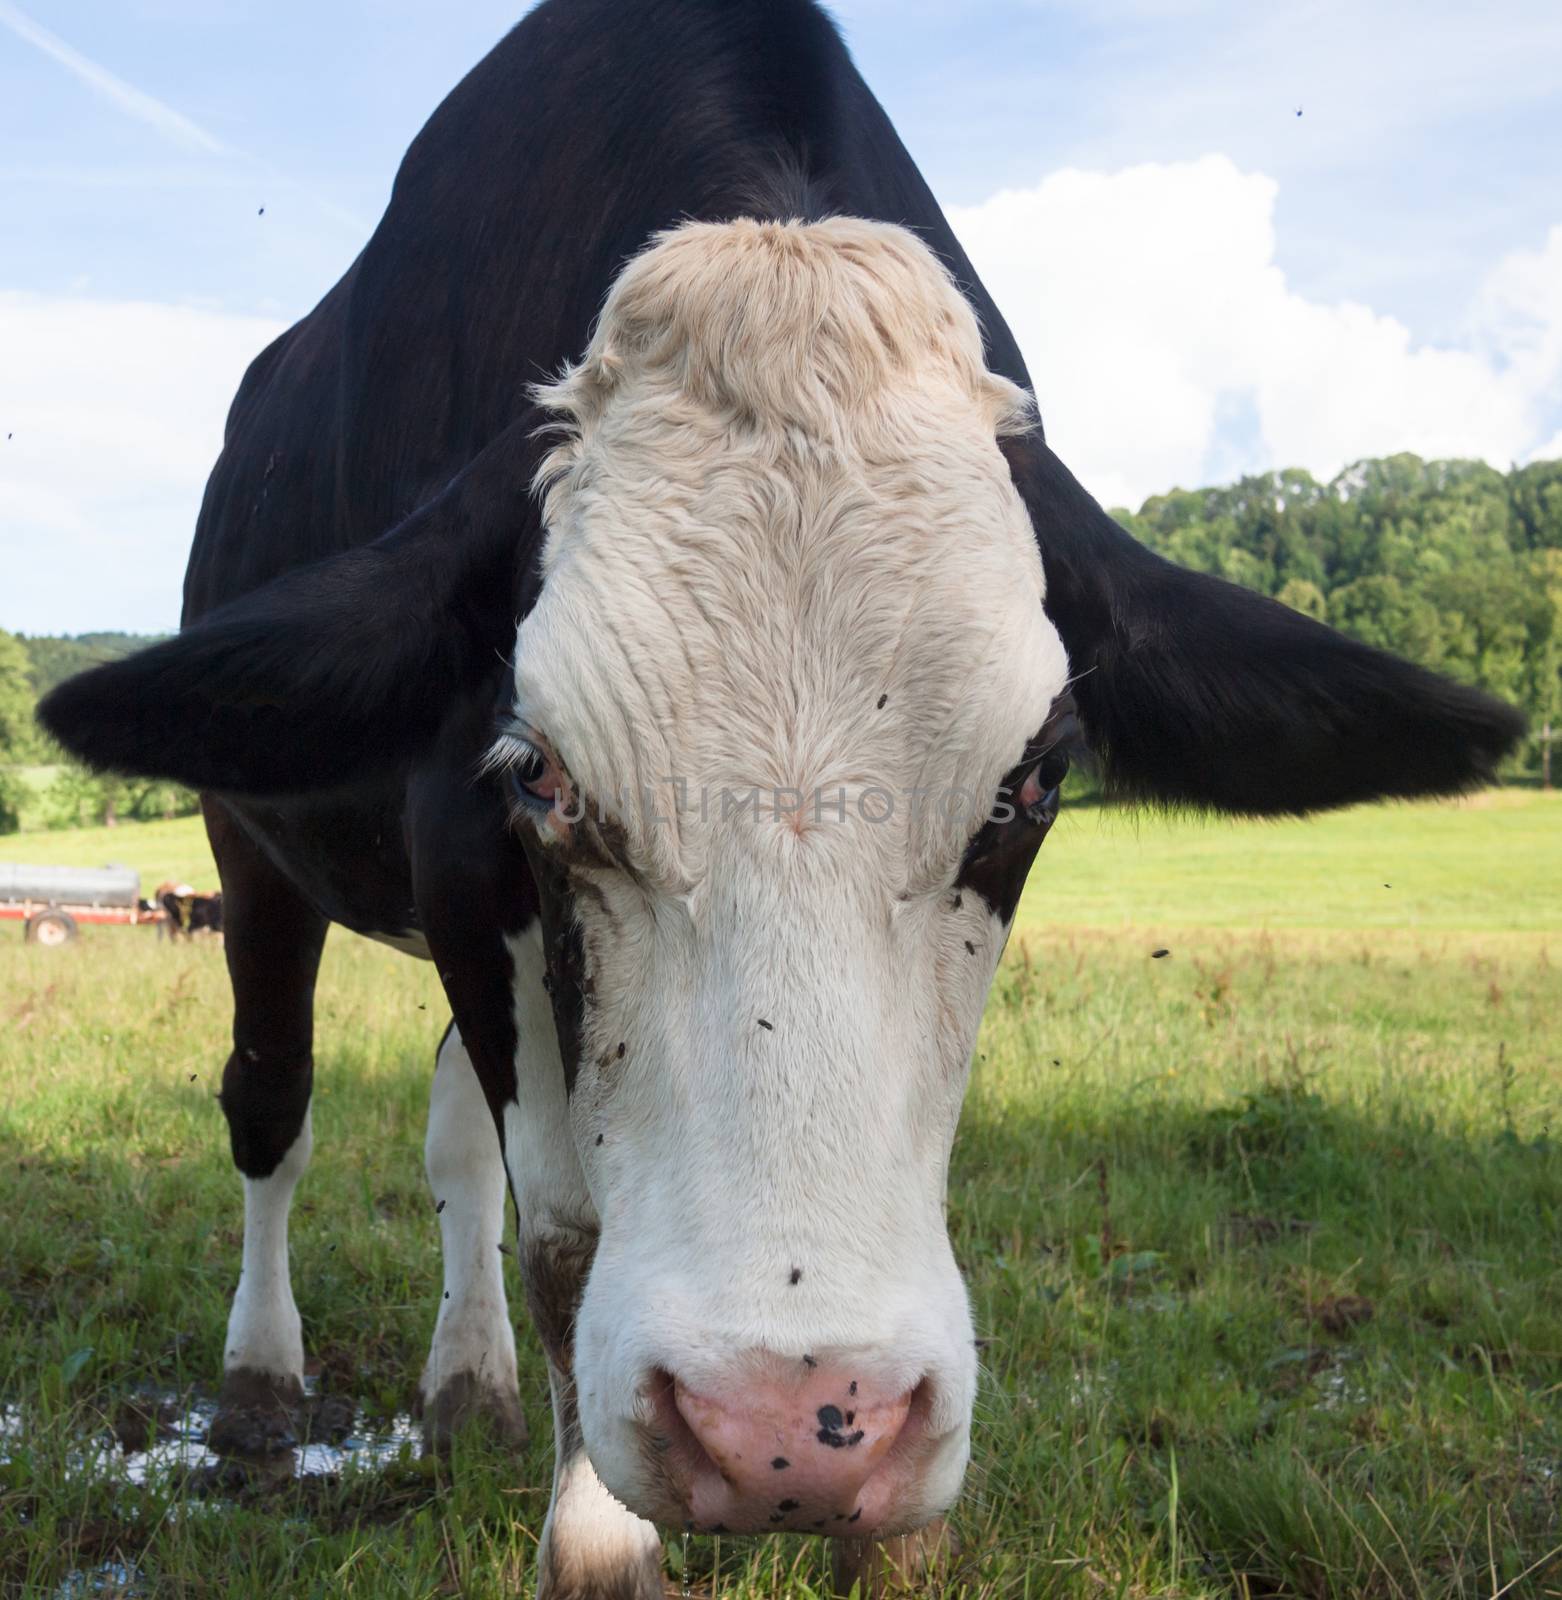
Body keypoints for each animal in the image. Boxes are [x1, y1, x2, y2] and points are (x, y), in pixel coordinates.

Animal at [42, 6, 1517, 1593]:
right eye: (539, 769)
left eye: (1033, 779)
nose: (789, 1432)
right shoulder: (460, 846)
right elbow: (564, 1238)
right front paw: (598, 1542)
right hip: (252, 850)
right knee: (273, 1098)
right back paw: (260, 1382)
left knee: (448, 1135)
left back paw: (464, 1385)